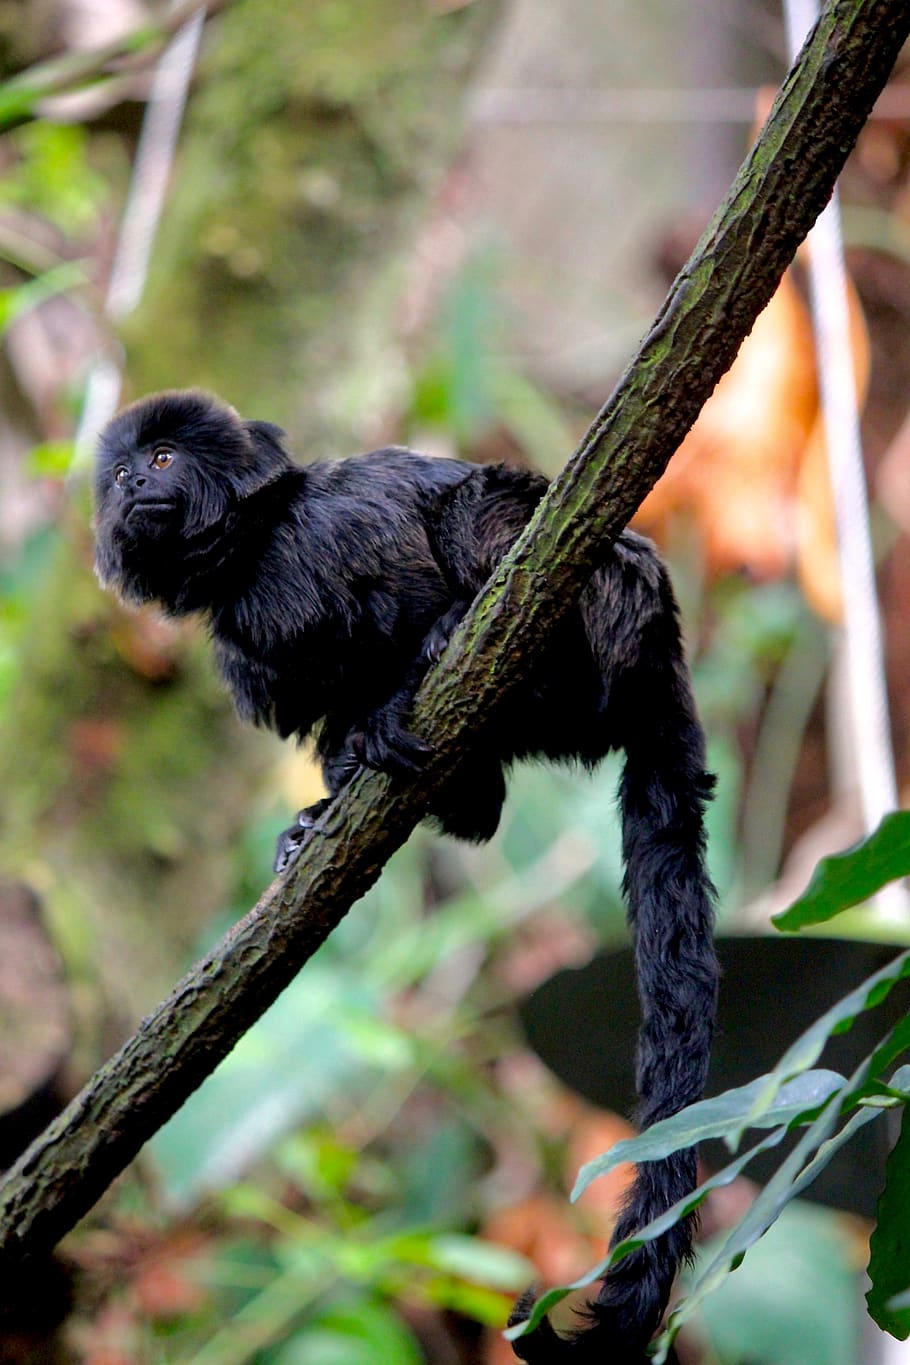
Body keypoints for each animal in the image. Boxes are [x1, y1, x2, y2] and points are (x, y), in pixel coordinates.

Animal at [94, 388, 718, 1363]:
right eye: (120, 473)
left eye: (161, 462)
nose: (132, 489)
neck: (255, 555)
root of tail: (664, 643)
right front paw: (313, 815)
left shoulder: (336, 534)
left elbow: (411, 563)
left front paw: (419, 653)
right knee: (480, 805)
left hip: (610, 598)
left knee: (484, 513)